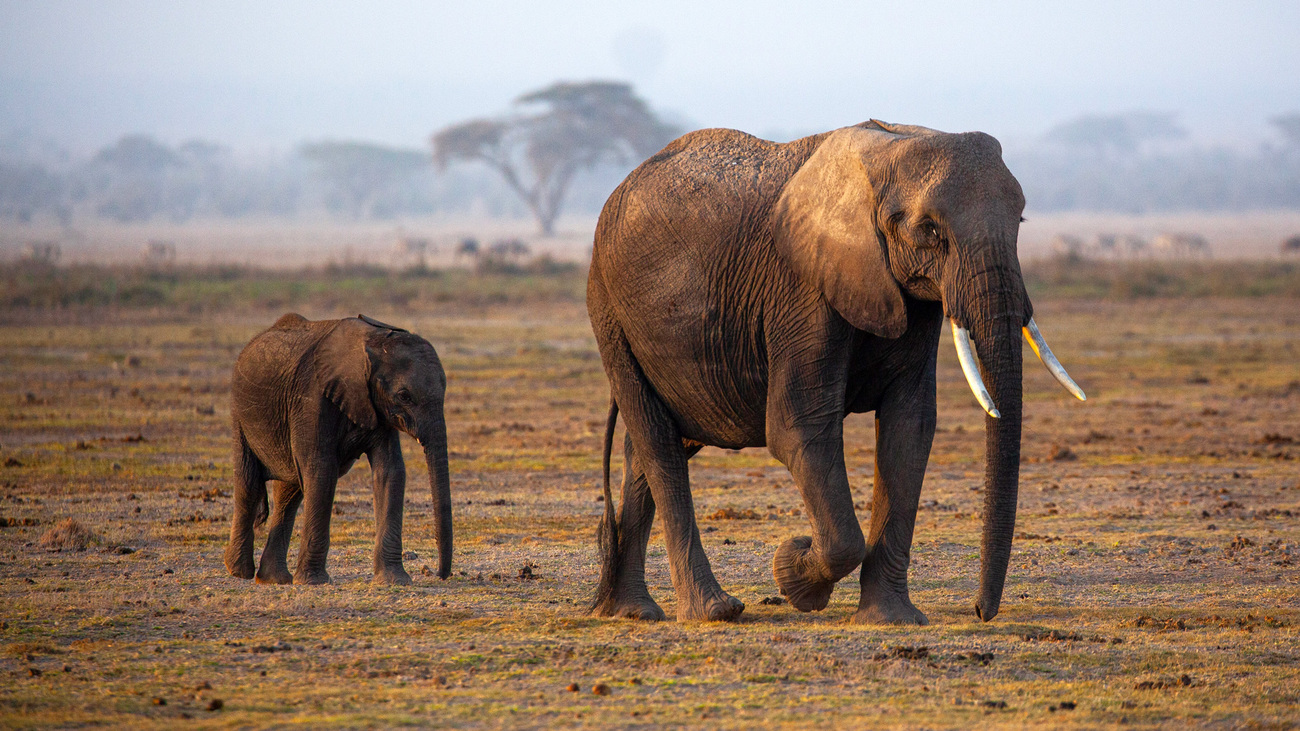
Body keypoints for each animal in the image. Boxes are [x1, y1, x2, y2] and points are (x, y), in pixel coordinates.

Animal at [220, 309, 449, 582]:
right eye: (404, 396)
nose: (439, 574)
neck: (373, 342)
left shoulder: (377, 408)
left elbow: (390, 472)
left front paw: (395, 580)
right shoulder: (311, 399)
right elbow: (321, 471)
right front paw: (313, 582)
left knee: (289, 491)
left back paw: (274, 579)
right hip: (240, 415)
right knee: (249, 483)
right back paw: (239, 571)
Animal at [590, 119, 1086, 619]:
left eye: (1020, 222)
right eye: (928, 229)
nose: (981, 611)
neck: (888, 149)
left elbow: (910, 427)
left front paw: (892, 620)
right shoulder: (799, 288)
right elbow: (798, 427)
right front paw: (793, 573)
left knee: (651, 448)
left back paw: (630, 610)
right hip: (610, 311)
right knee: (657, 443)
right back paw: (714, 611)